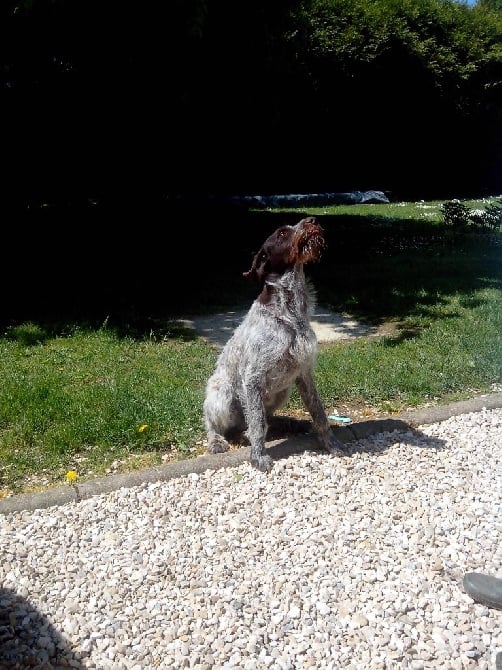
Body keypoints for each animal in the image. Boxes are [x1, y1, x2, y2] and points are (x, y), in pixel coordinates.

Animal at [202, 215, 348, 472]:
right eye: (281, 233)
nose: (312, 219)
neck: (290, 311)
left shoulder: (303, 372)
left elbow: (319, 413)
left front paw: (331, 444)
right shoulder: (252, 377)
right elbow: (258, 424)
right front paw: (258, 456)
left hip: (282, 391)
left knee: (263, 419)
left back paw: (287, 423)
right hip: (222, 392)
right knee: (214, 423)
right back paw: (218, 440)